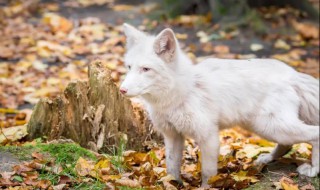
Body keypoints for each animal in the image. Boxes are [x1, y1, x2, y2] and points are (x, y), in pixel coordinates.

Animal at [119, 23, 318, 186]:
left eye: (146, 69)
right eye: (129, 67)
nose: (122, 90)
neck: (181, 93)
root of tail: (293, 74)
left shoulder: (209, 137)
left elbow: (208, 174)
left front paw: (206, 187)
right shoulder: (173, 136)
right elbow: (172, 167)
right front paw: (173, 184)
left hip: (271, 127)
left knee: (314, 133)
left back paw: (313, 170)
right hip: (264, 127)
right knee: (287, 145)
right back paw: (267, 158)